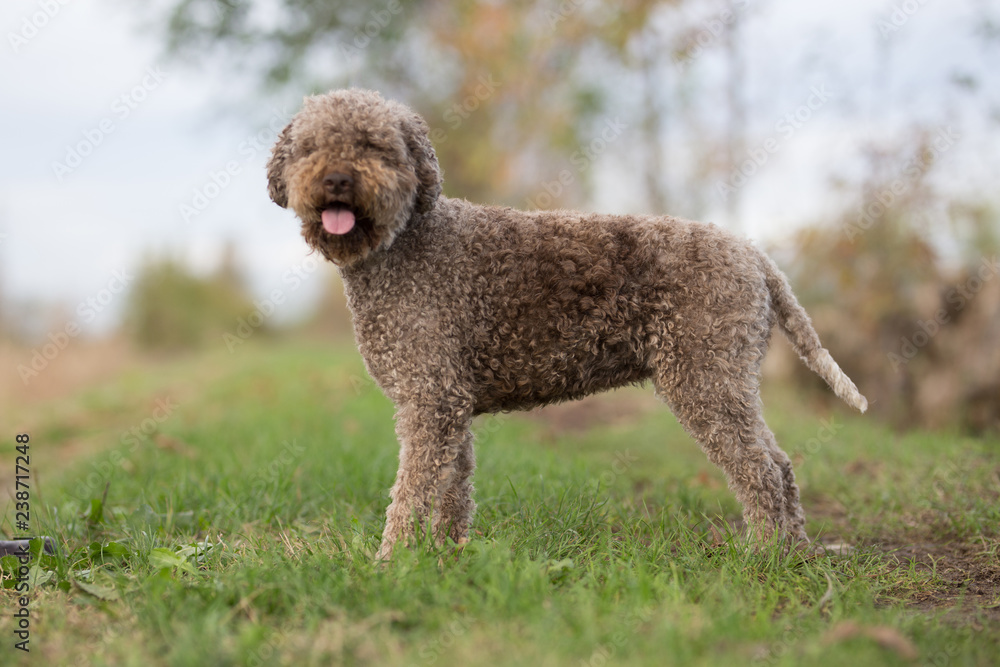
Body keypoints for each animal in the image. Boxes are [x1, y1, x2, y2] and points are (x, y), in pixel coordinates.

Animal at [266, 87, 868, 560]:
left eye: (376, 146)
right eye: (310, 147)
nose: (337, 179)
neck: (405, 242)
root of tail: (755, 255)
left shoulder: (430, 399)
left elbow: (410, 492)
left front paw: (391, 562)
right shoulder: (447, 402)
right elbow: (453, 487)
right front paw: (446, 554)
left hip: (705, 378)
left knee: (759, 470)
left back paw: (762, 555)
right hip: (726, 380)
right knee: (782, 466)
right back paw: (794, 552)